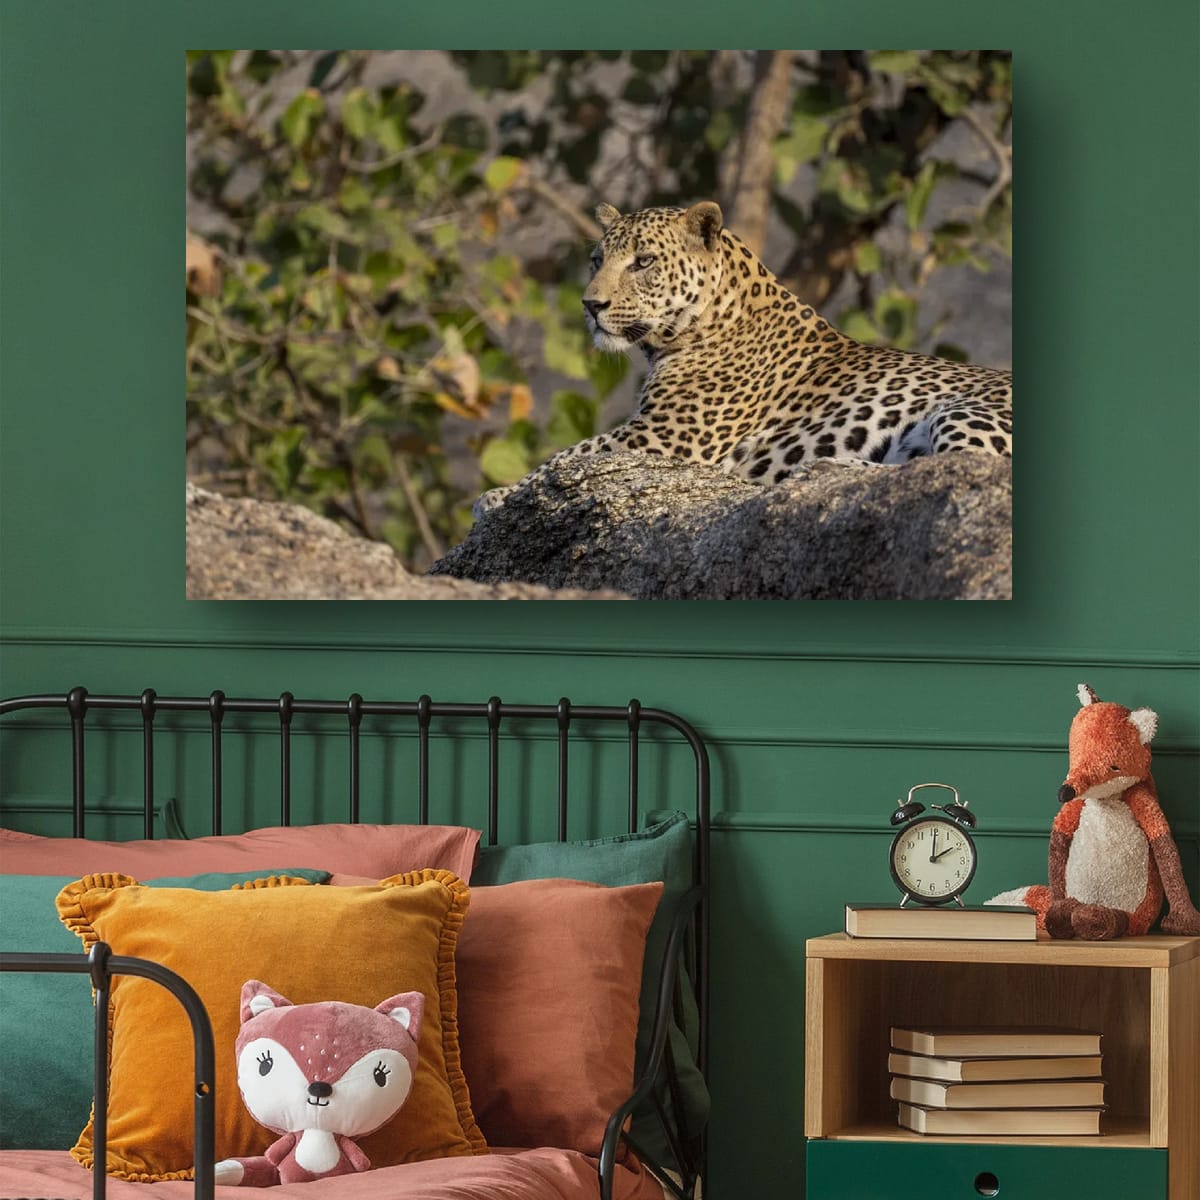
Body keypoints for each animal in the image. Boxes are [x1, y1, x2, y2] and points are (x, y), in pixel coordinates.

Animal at [474, 200, 1010, 515]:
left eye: (643, 262)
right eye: (596, 261)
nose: (590, 305)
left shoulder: (666, 436)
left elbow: (569, 455)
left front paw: (498, 496)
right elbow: (571, 455)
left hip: (964, 410)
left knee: (967, 465)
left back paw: (827, 469)